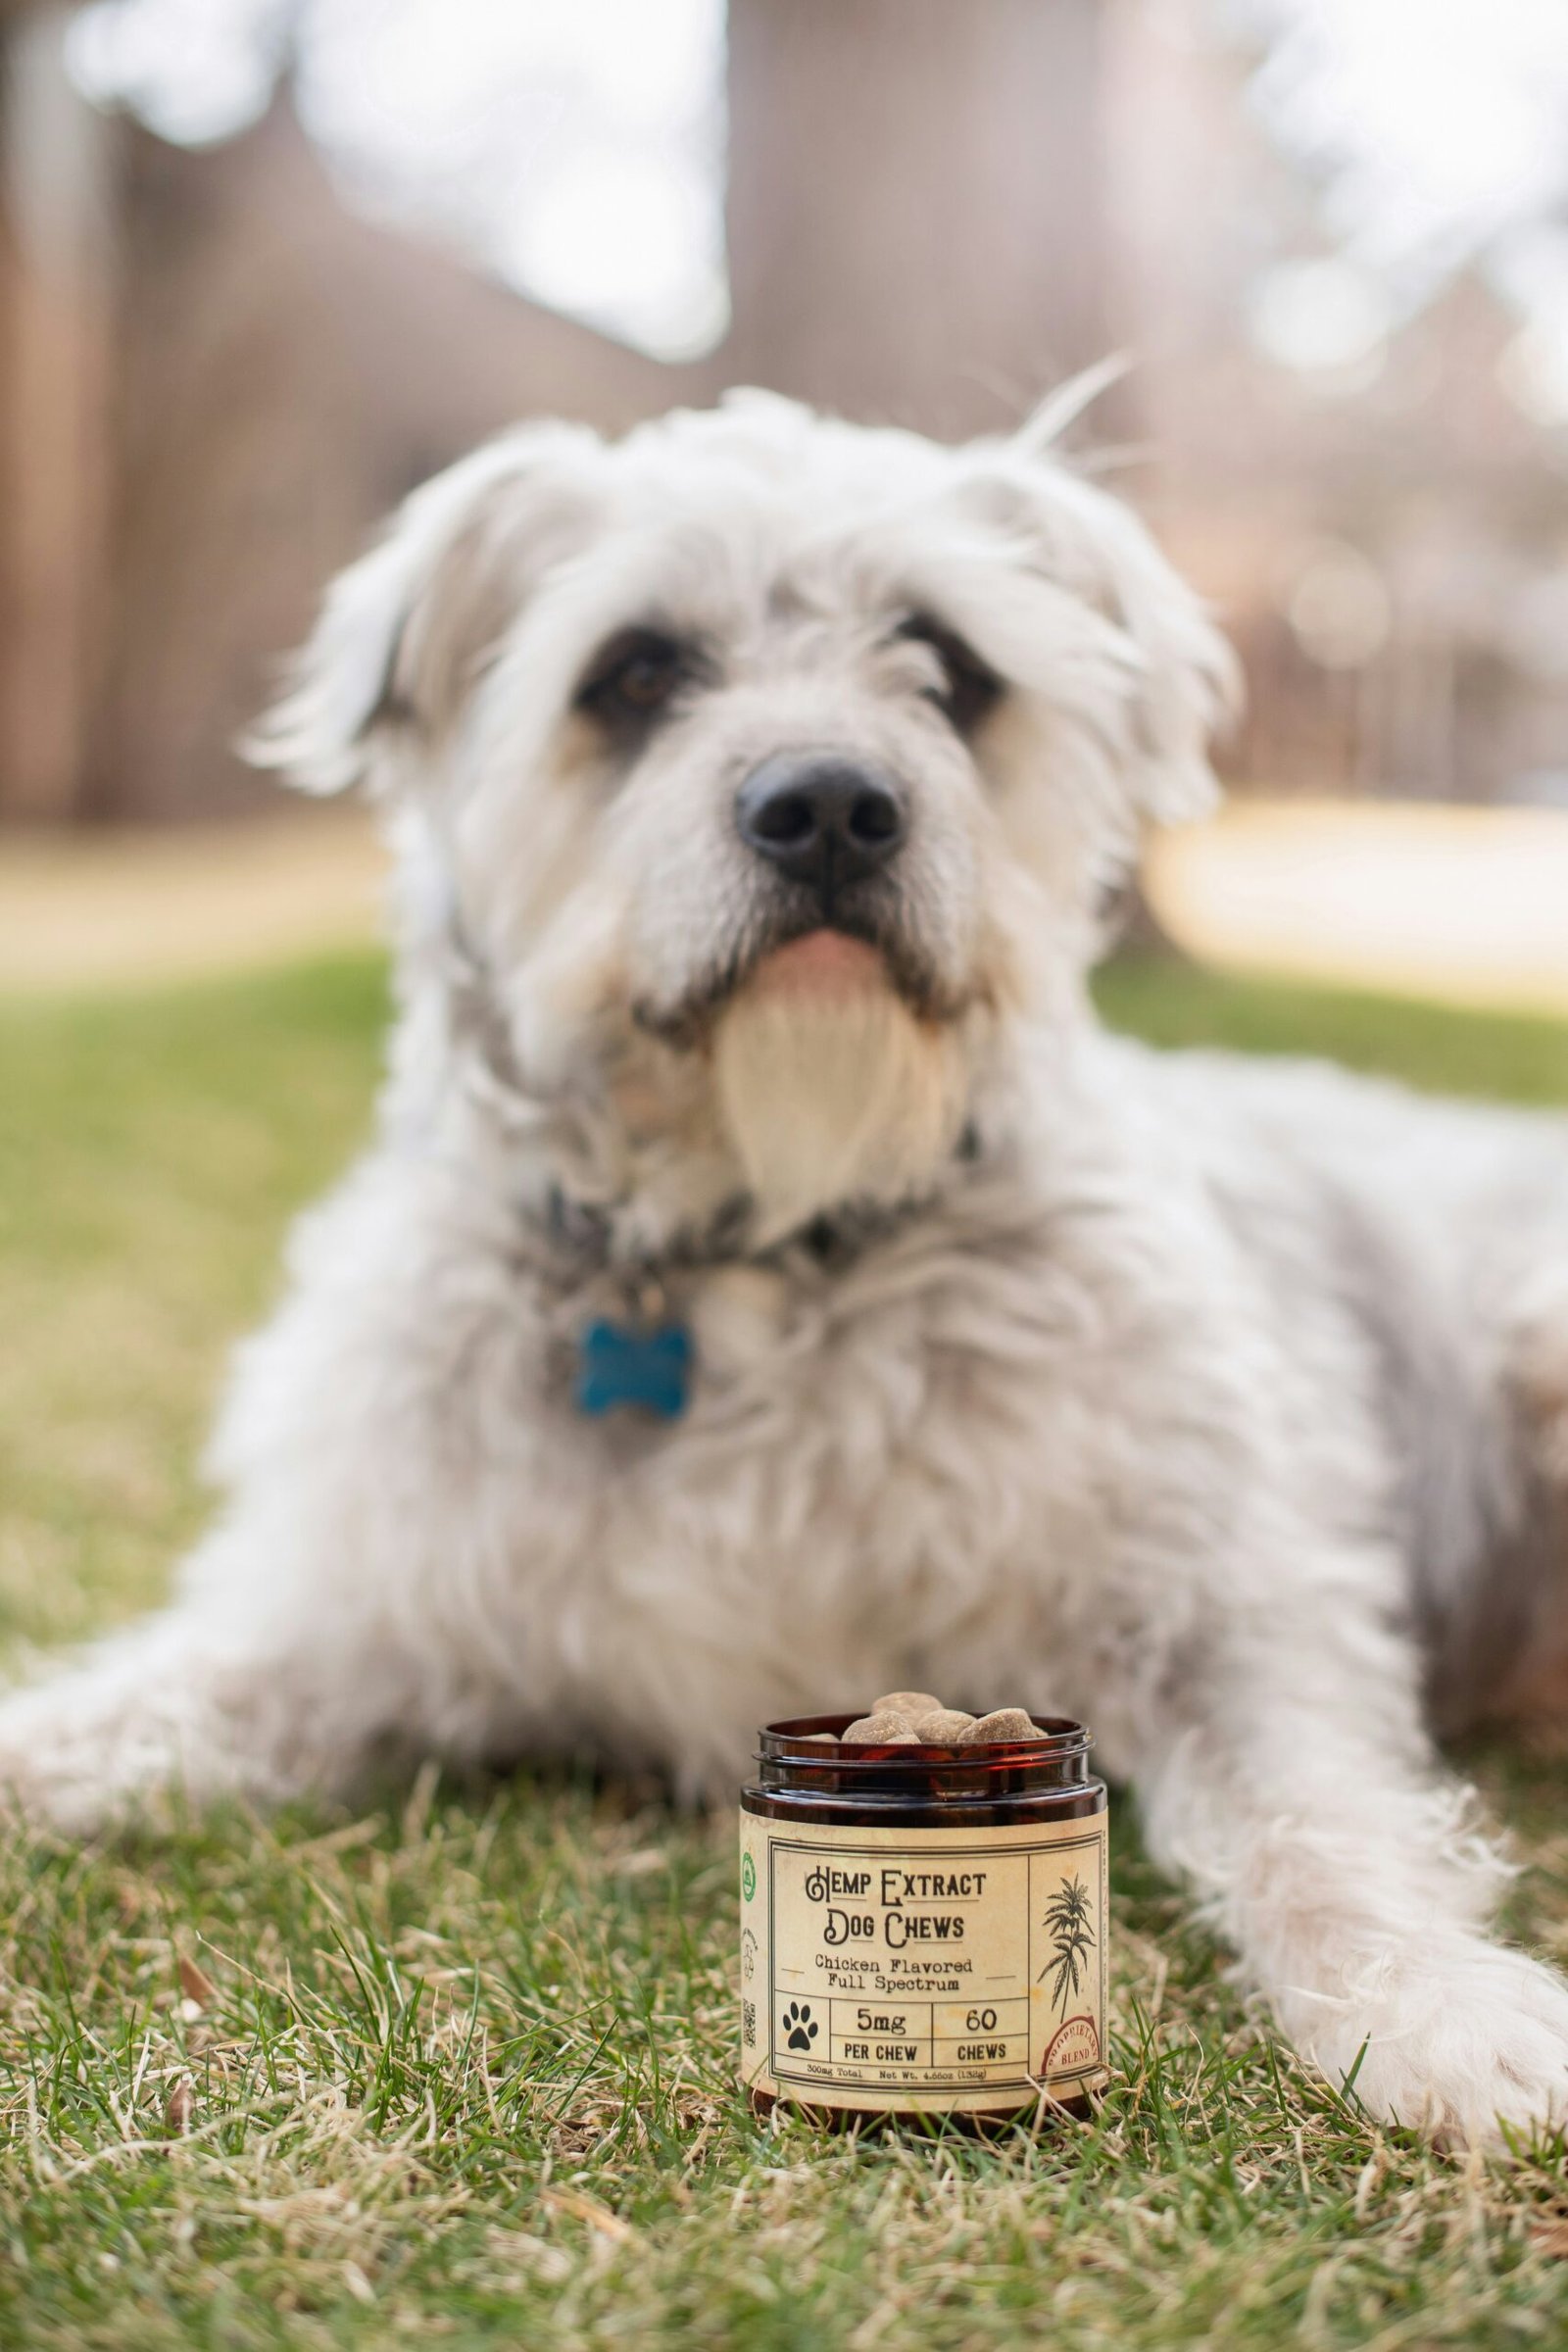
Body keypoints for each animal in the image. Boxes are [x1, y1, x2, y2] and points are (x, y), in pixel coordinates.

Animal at [9, 390, 1568, 2154]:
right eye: (634, 671)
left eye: (947, 661)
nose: (828, 806)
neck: (760, 1246)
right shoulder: (362, 1620)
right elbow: (110, 1715)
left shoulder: (1227, 1608)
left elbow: (1327, 1820)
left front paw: (1437, 2003)